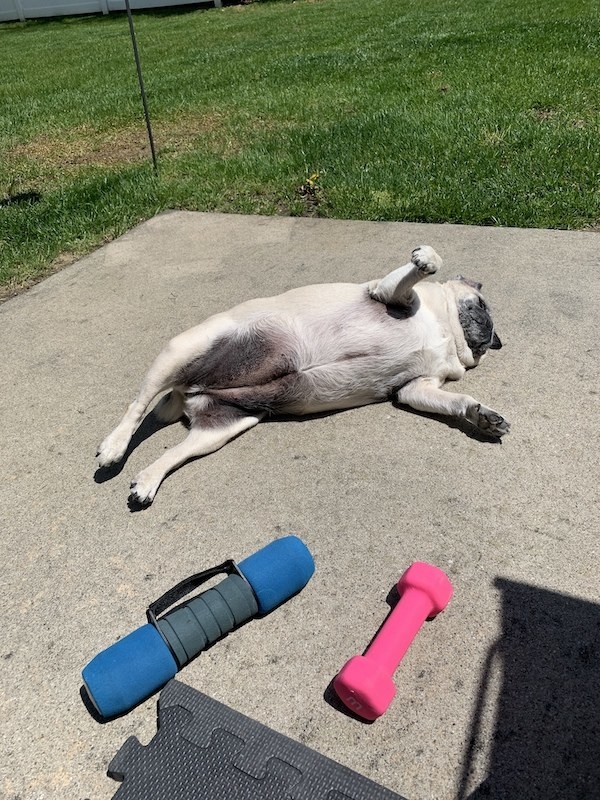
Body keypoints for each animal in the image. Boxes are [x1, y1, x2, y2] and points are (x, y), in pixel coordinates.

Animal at [97, 245, 506, 506]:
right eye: (481, 304)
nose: (495, 337)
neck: (446, 331)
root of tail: (189, 391)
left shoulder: (415, 388)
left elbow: (456, 402)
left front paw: (480, 415)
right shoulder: (390, 294)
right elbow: (425, 266)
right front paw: (425, 259)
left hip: (221, 428)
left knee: (174, 453)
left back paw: (148, 481)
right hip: (182, 350)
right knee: (137, 407)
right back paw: (114, 447)